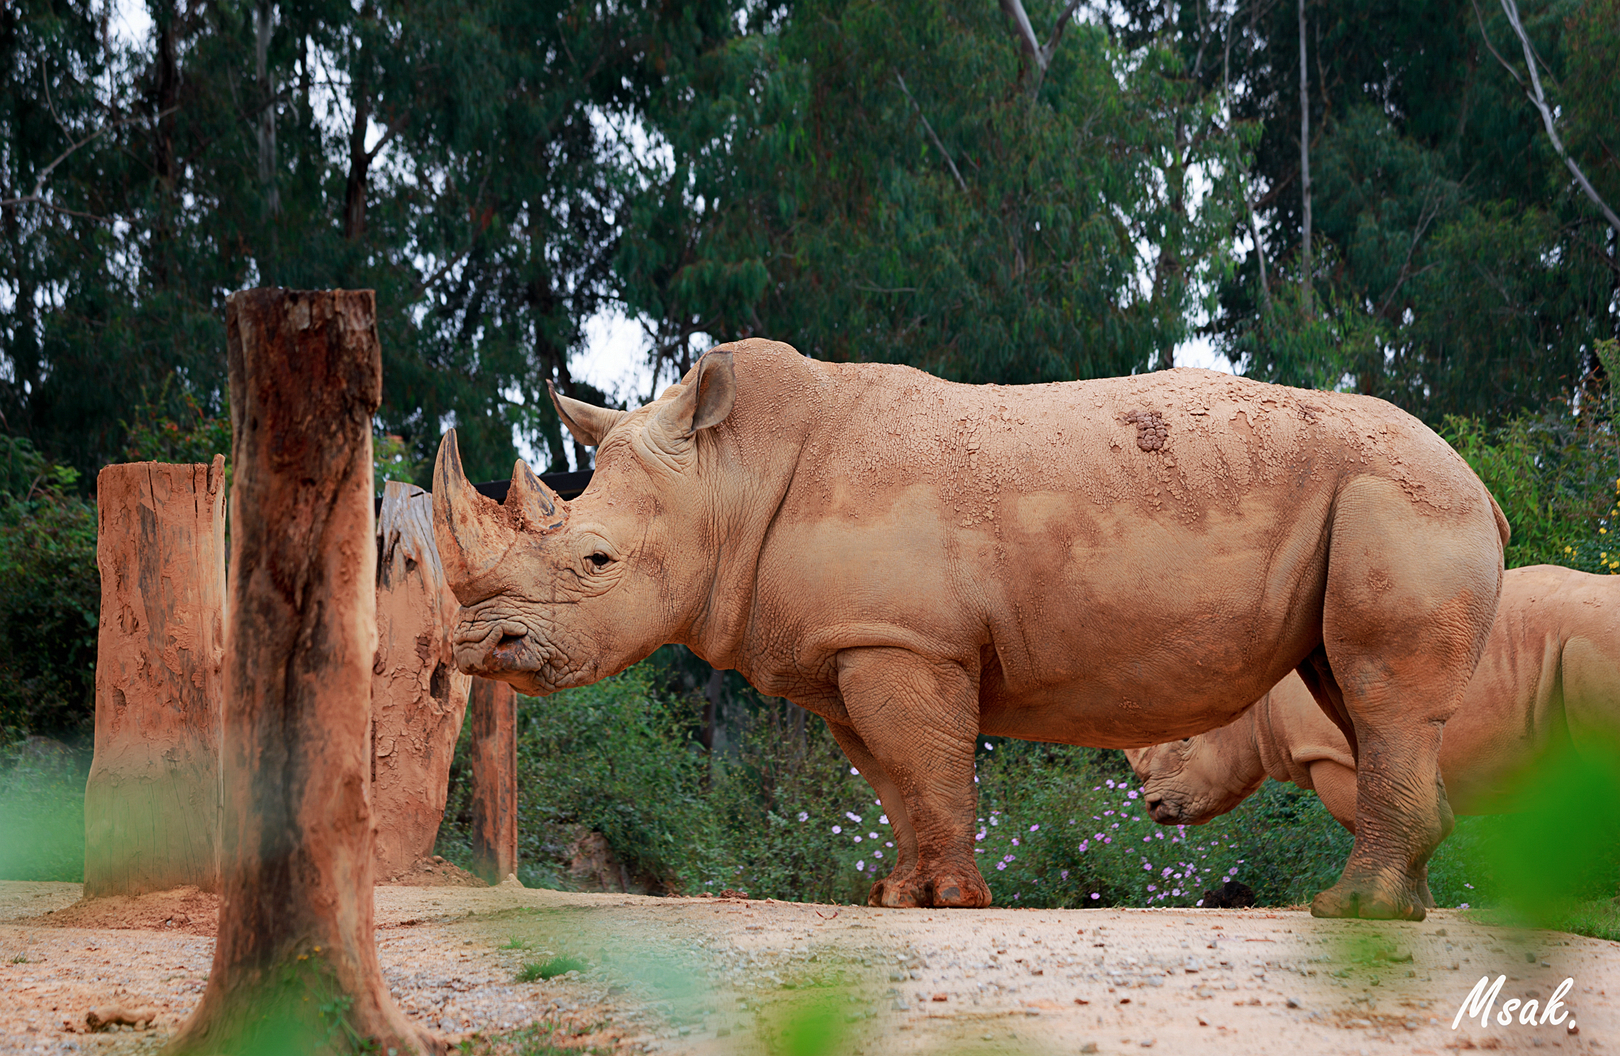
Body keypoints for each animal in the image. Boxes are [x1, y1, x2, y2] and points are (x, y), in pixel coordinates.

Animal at [432, 338, 1508, 919]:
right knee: (1351, 692)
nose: (482, 647)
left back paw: (1351, 912)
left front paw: (949, 903)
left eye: (596, 560)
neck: (729, 478)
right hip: (1379, 503)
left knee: (1375, 693)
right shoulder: (850, 647)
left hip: (1403, 499)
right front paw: (897, 897)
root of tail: (1482, 488)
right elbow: (895, 780)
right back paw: (1393, 909)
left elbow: (929, 764)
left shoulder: (905, 641)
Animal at [1125, 562, 1620, 903]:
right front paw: (1416, 905)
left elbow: (1370, 815)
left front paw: (1388, 903)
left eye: (1185, 741)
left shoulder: (1332, 752)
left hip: (1590, 641)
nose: (1155, 807)